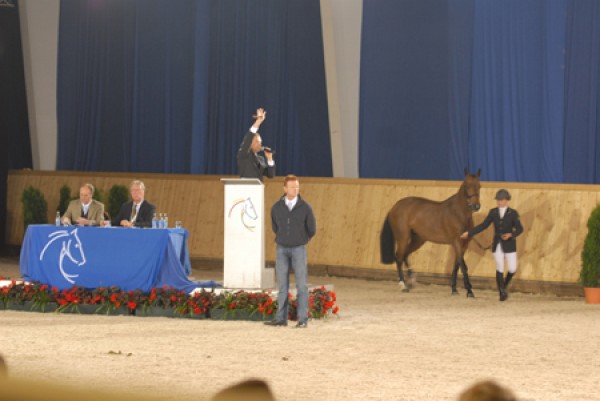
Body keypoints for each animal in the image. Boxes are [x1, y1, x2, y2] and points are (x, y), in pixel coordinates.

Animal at [380, 167, 482, 296]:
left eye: (479, 186)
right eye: (467, 186)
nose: (476, 206)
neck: (457, 213)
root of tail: (395, 207)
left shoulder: (464, 244)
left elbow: (457, 265)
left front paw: (454, 289)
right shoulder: (456, 242)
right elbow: (463, 266)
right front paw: (469, 291)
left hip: (418, 240)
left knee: (405, 255)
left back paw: (411, 281)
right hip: (403, 237)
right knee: (399, 257)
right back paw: (403, 285)